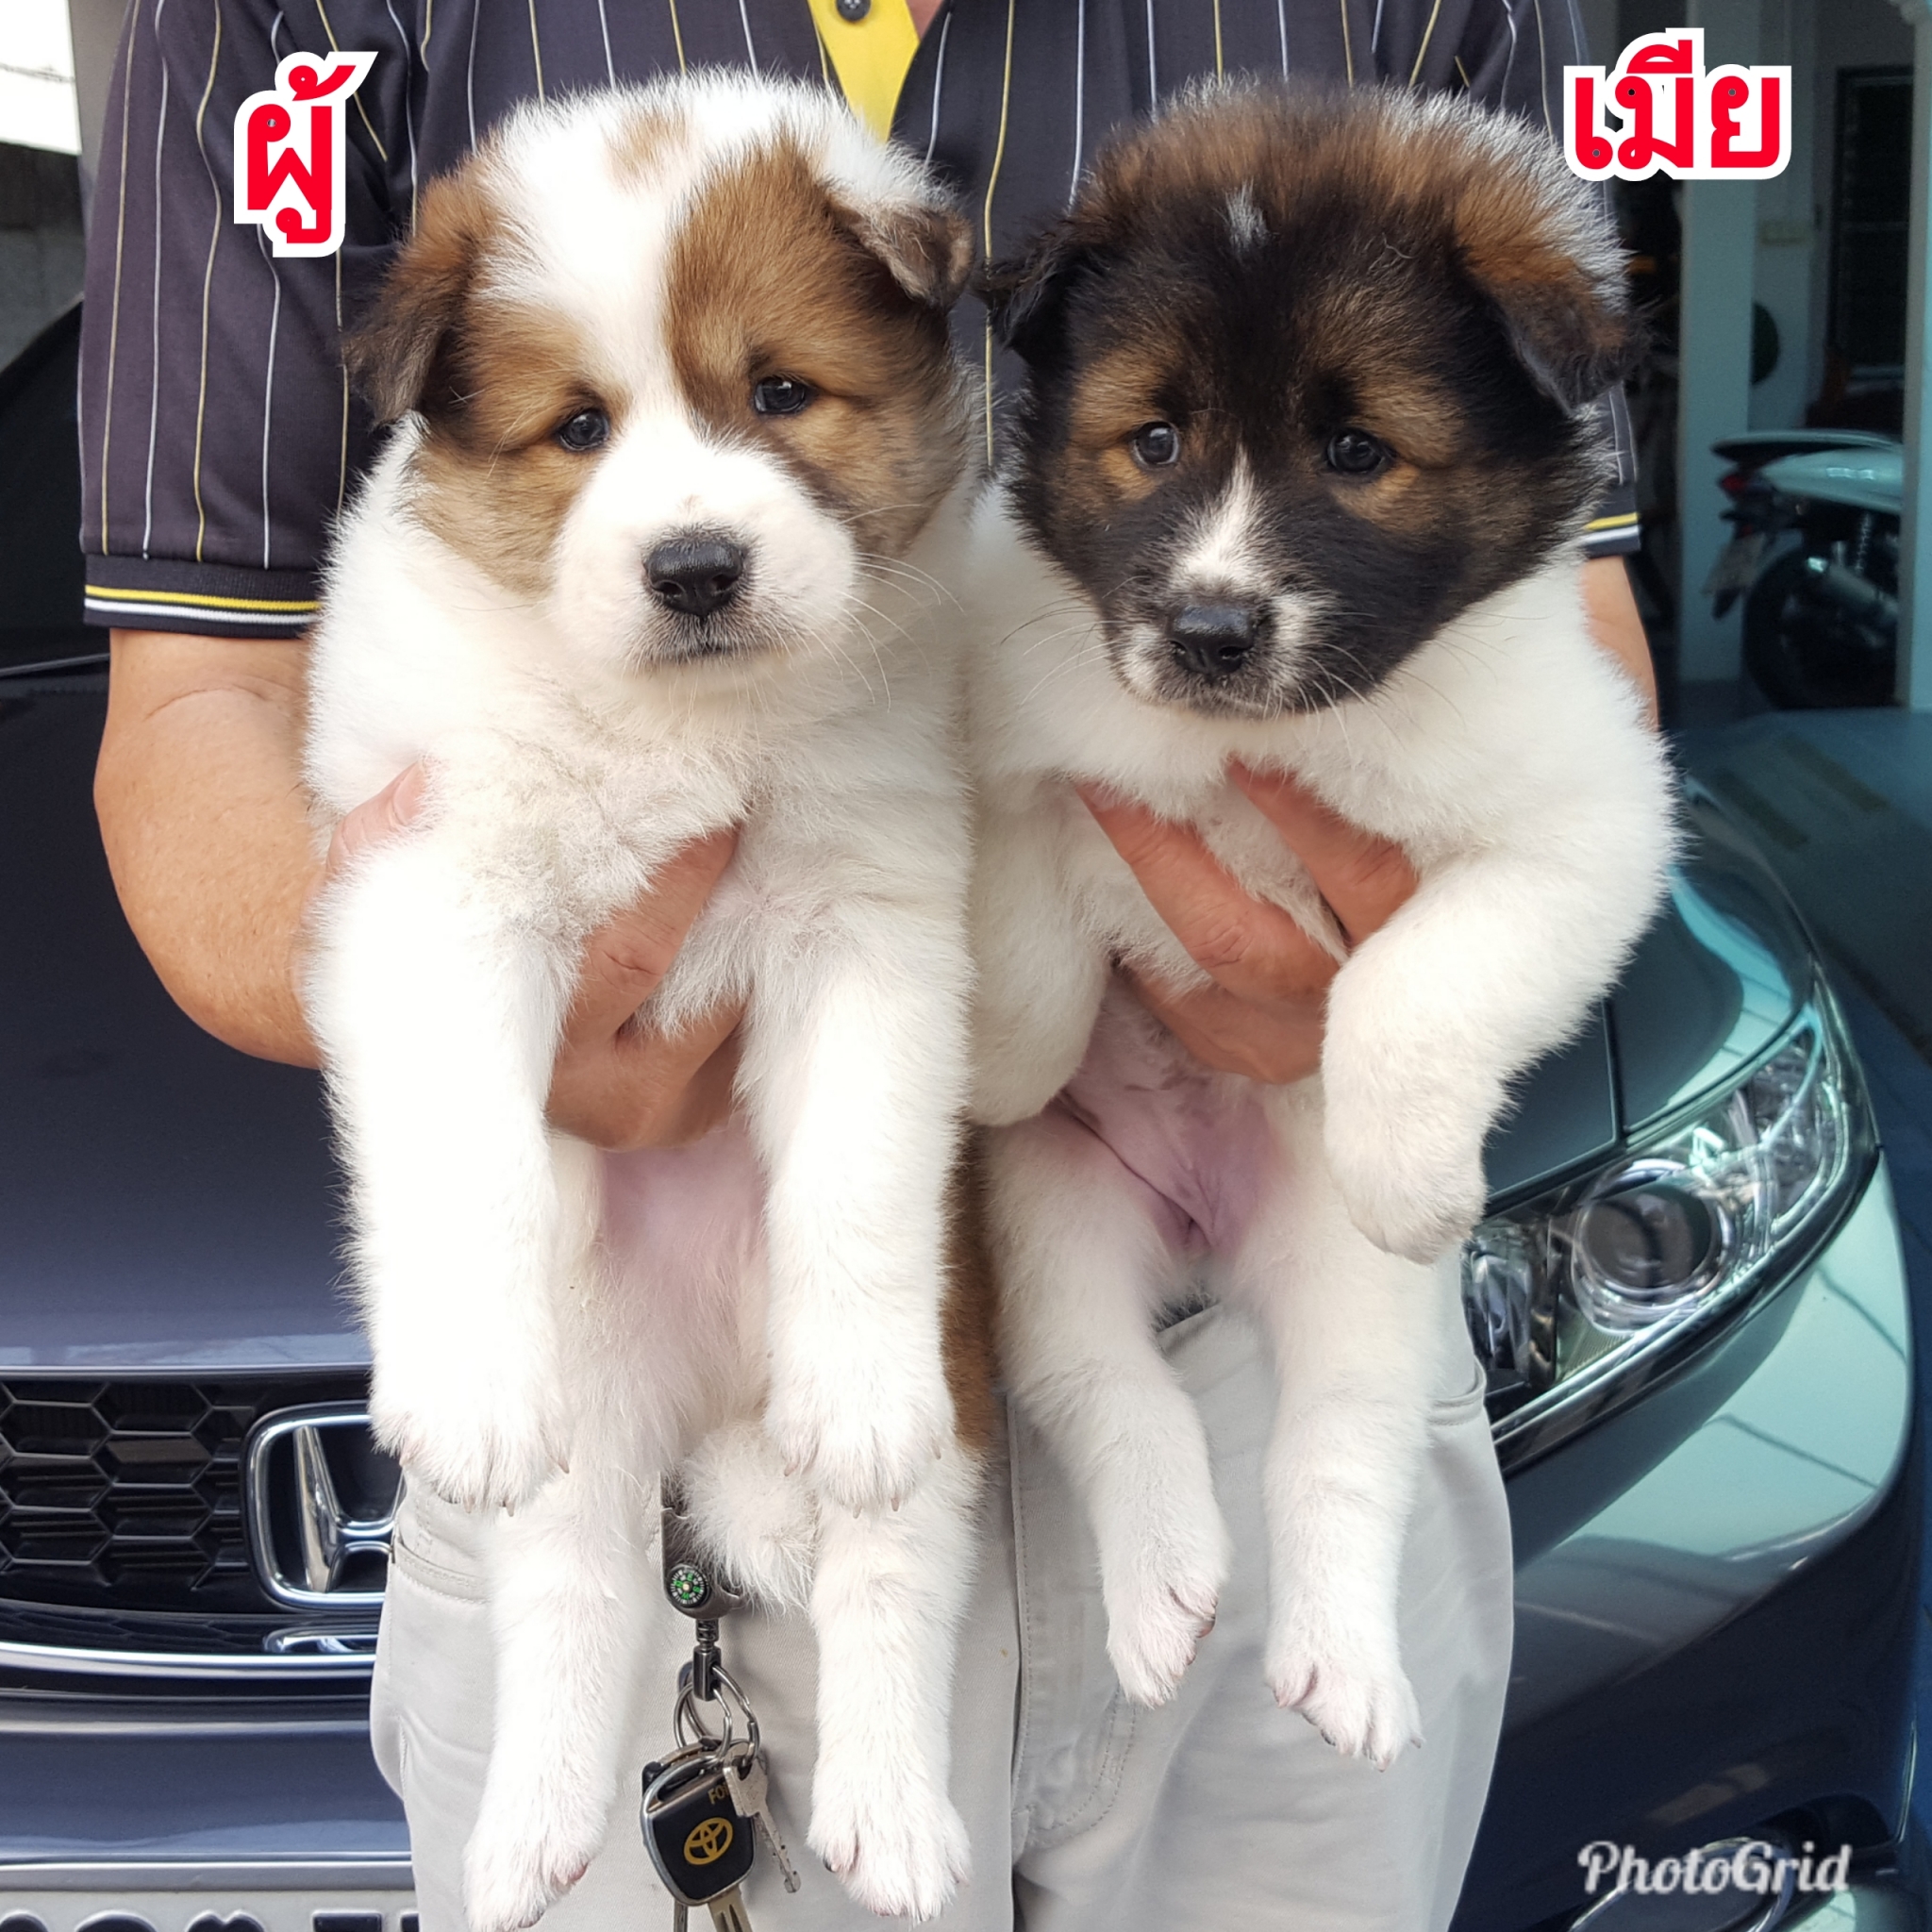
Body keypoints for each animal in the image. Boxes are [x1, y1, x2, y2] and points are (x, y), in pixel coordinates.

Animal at [302, 74, 989, 1928]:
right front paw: (461, 1387)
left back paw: (893, 1807)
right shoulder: (443, 895)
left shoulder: (875, 920)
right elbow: (467, 1158)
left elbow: (855, 1178)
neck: (677, 724)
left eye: (778, 393)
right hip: (586, 1398)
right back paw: (527, 1828)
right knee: (575, 1591)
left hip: (947, 1367)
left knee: (893, 1558)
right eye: (577, 427)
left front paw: (856, 1376)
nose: (693, 567)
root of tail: (700, 1387)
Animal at [962, 82, 1675, 1765]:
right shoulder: (992, 741)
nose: (1210, 629)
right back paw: (1164, 1584)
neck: (1259, 741)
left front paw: (1411, 1169)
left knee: (1335, 1445)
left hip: (1352, 1294)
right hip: (1051, 1224)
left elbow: (1411, 983)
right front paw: (1007, 1049)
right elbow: (1026, 895)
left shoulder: (1588, 823)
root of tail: (1206, 1232)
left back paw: (1343, 1659)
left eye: (1357, 451)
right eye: (1153, 438)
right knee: (1106, 1389)